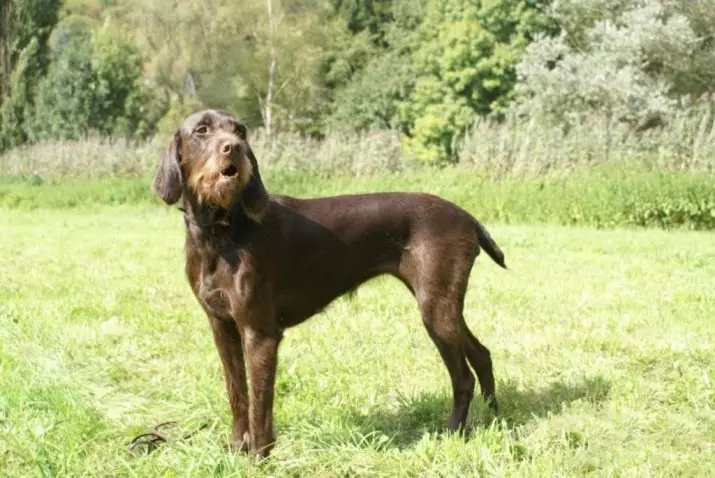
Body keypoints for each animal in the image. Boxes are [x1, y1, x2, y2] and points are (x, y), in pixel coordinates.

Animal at [152, 109, 510, 460]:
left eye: (240, 131)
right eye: (201, 130)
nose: (235, 148)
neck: (221, 231)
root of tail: (467, 217)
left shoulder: (261, 333)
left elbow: (260, 405)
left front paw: (258, 458)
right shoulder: (222, 326)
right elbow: (237, 394)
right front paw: (237, 449)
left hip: (436, 310)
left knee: (463, 376)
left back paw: (452, 431)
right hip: (442, 306)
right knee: (481, 354)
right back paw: (494, 417)